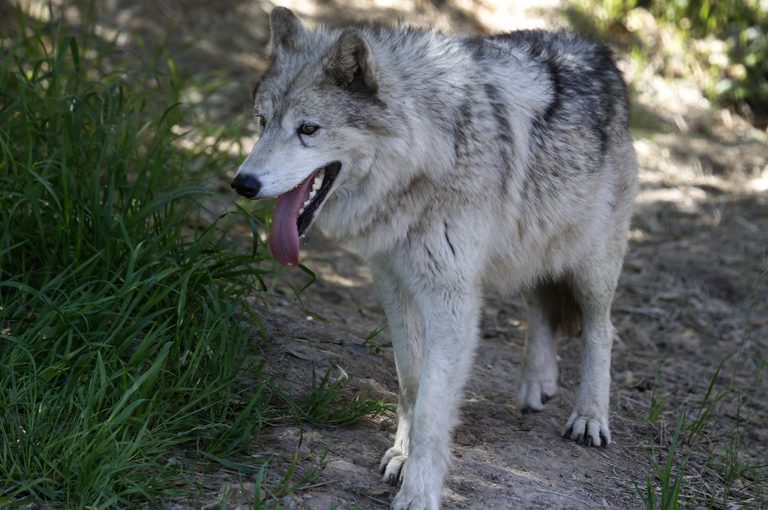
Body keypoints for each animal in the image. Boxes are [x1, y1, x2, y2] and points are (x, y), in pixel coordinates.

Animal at [232, 7, 638, 509]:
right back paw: (534, 386)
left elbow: (432, 406)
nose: (243, 184)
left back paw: (589, 417)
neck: (428, 156)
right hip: (532, 247)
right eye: (262, 121)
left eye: (308, 129)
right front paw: (402, 458)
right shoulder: (392, 281)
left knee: (601, 331)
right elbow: (411, 382)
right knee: (541, 308)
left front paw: (418, 491)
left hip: (591, 268)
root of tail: (598, 49)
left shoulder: (451, 298)